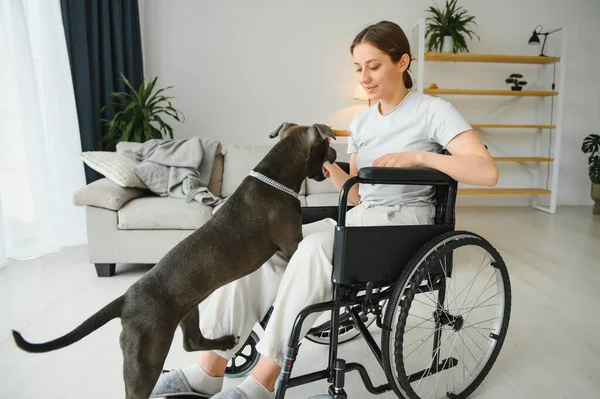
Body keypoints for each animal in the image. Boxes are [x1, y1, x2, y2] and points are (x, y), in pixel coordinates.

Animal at [11, 122, 338, 399]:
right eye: (326, 144)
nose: (337, 154)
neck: (276, 176)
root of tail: (126, 299)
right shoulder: (292, 244)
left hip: (187, 311)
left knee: (191, 342)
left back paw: (223, 343)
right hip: (148, 354)